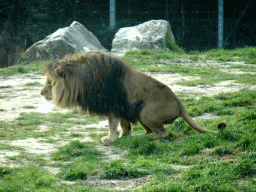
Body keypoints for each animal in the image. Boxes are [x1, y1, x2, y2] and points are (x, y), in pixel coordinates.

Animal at [41, 51, 221, 146]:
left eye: (49, 83)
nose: (41, 93)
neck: (82, 79)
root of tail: (181, 104)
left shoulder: (112, 105)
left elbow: (112, 125)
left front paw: (109, 139)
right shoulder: (122, 107)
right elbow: (124, 124)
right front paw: (124, 136)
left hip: (145, 113)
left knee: (164, 133)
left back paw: (145, 138)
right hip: (141, 115)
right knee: (155, 130)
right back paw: (141, 135)